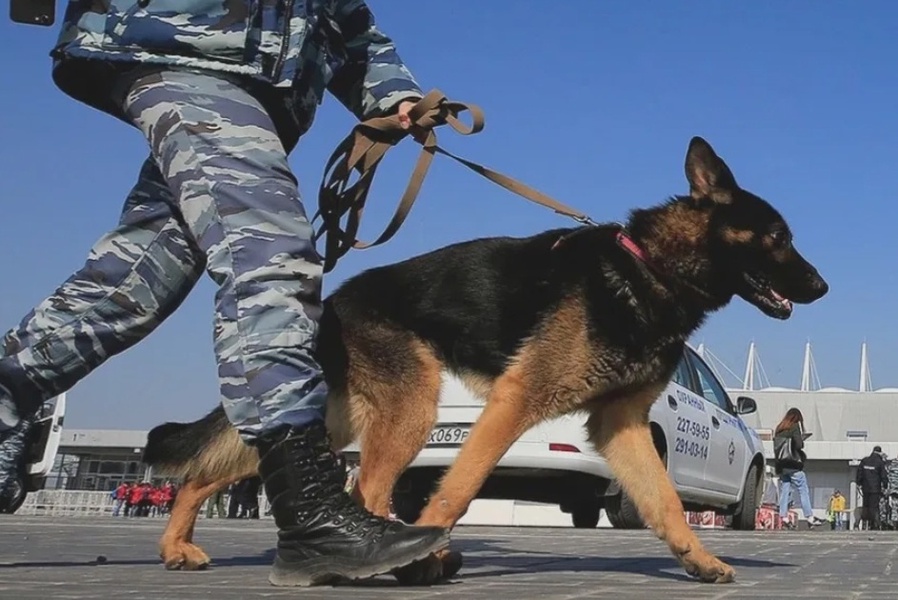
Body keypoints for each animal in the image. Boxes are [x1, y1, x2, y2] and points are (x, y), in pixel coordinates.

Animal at [142, 138, 824, 584]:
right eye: (779, 237)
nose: (822, 287)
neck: (648, 269)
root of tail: (333, 301)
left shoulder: (620, 427)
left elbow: (665, 503)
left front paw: (699, 560)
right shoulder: (516, 403)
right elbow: (457, 491)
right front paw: (430, 549)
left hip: (340, 421)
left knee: (213, 472)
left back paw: (179, 548)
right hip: (412, 412)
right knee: (367, 491)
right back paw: (400, 562)